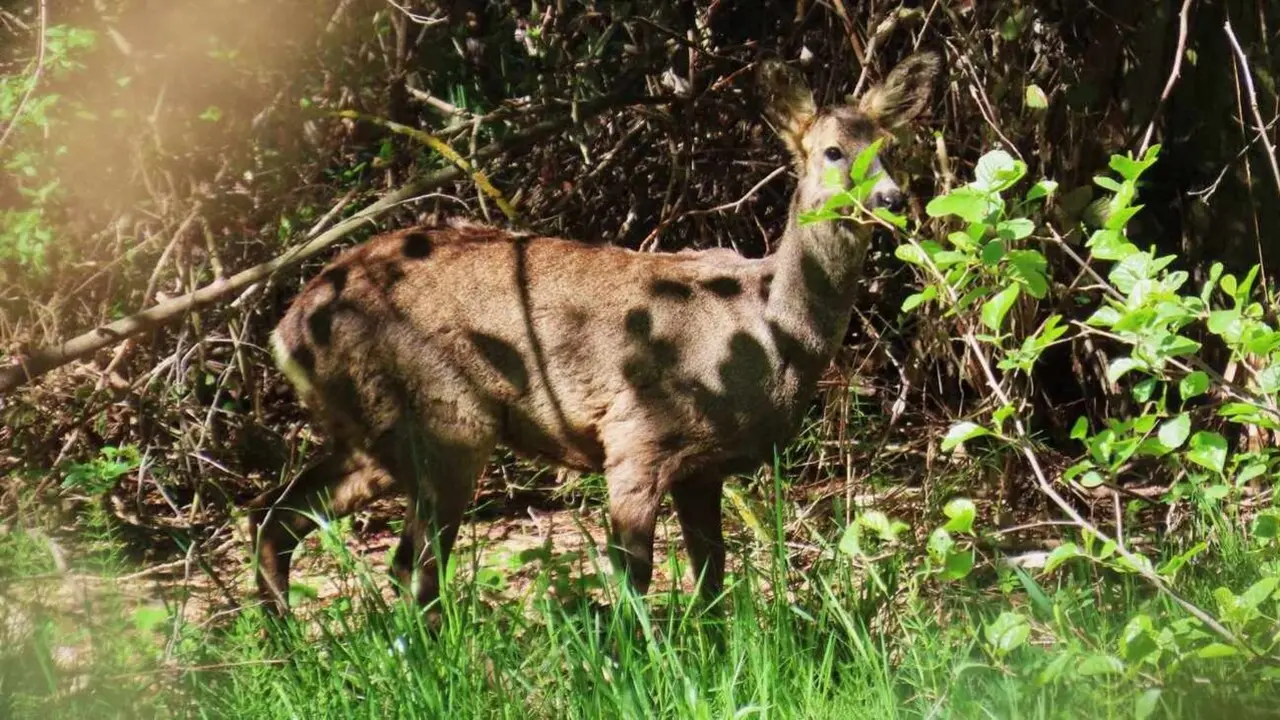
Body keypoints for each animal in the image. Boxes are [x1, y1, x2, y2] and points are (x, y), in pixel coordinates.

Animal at [247, 52, 940, 616]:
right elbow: (635, 575)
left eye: (891, 146)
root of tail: (288, 331)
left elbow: (712, 580)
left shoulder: (703, 467)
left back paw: (290, 643)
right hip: (445, 416)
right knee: (410, 567)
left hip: (369, 431)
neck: (768, 331)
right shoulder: (637, 434)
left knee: (279, 519)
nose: (893, 198)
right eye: (833, 152)